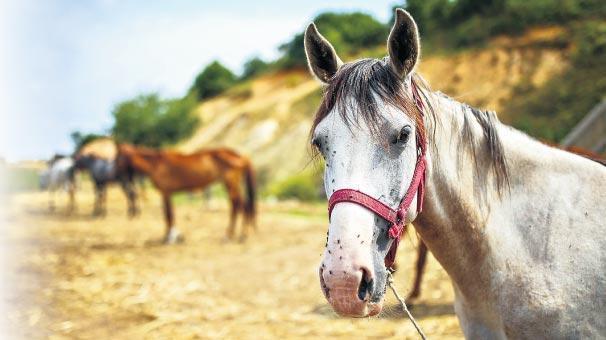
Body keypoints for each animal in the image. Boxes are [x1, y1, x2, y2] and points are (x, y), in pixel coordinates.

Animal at [116, 145, 256, 243]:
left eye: (118, 157)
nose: (118, 176)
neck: (156, 163)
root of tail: (240, 156)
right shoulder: (167, 194)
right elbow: (168, 215)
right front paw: (172, 236)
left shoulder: (166, 193)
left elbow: (168, 215)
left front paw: (170, 238)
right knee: (241, 206)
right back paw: (239, 235)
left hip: (231, 184)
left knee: (239, 206)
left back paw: (234, 236)